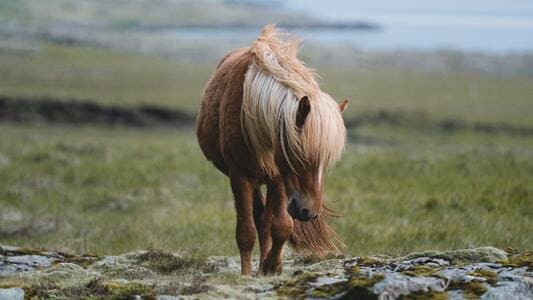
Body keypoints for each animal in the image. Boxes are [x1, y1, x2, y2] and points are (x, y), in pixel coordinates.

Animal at [195, 24, 350, 276]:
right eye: (301, 157)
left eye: (326, 163)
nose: (309, 212)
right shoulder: (240, 176)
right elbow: (246, 232)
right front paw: (247, 274)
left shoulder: (278, 178)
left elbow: (281, 226)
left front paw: (272, 266)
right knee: (258, 218)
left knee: (266, 220)